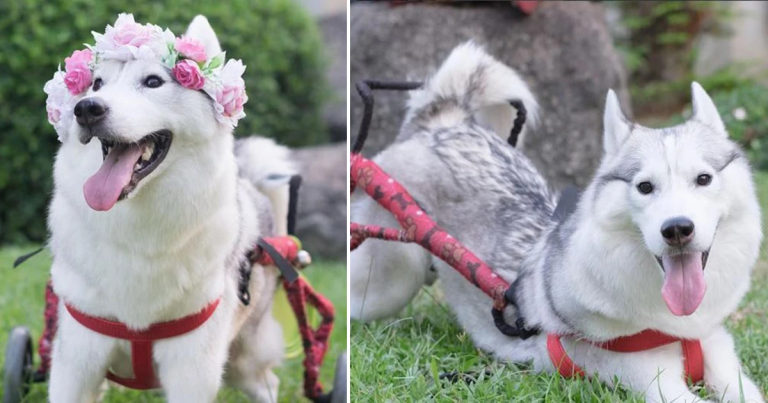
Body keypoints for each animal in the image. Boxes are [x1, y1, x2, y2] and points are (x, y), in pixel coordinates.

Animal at [47, 14, 294, 402]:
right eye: (97, 84)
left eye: (153, 82)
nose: (86, 109)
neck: (138, 236)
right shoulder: (76, 362)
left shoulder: (191, 369)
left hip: (246, 362)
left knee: (268, 381)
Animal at [352, 42, 764, 402]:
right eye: (645, 187)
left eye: (704, 179)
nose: (677, 228)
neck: (674, 328)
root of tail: (443, 122)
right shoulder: (645, 378)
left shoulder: (716, 349)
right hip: (389, 283)